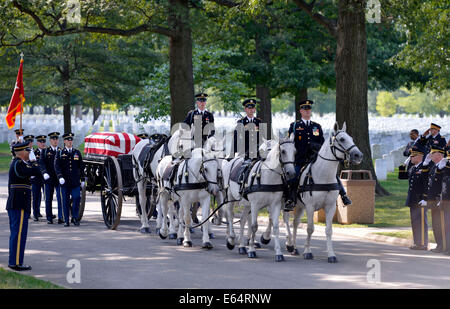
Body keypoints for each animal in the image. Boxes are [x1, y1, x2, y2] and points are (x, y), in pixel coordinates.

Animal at [284, 121, 364, 262]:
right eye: (342, 139)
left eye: (352, 138)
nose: (358, 155)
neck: (323, 175)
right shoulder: (310, 207)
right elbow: (310, 228)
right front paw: (308, 252)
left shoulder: (330, 207)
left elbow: (329, 230)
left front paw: (331, 254)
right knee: (285, 220)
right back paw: (288, 243)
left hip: (299, 207)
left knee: (295, 223)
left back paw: (294, 248)